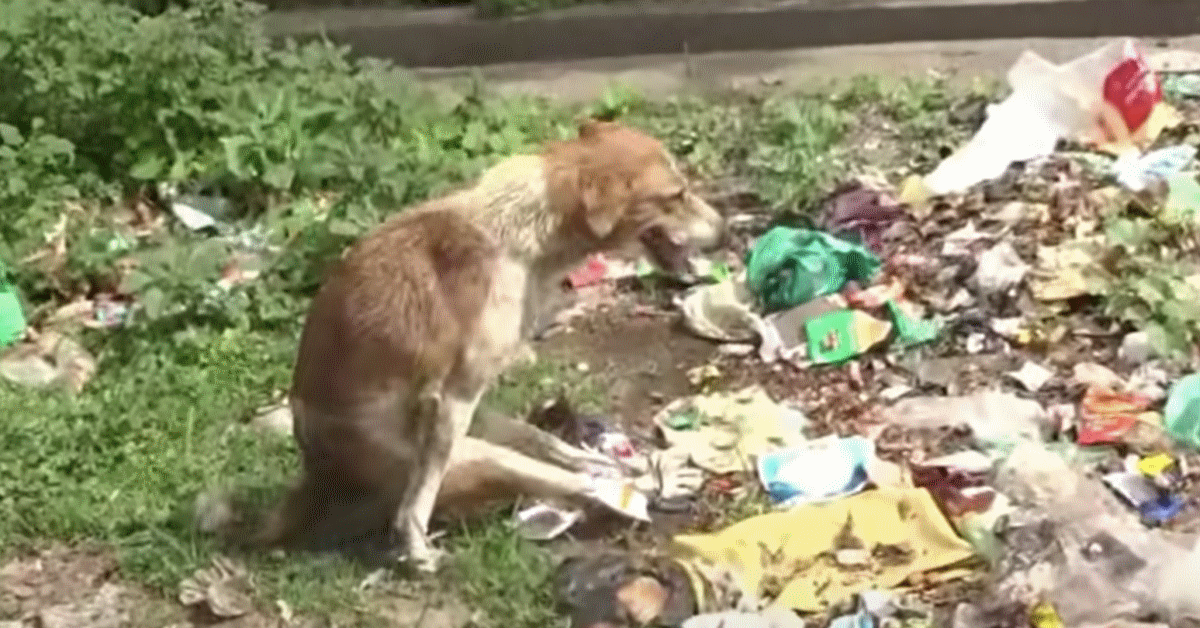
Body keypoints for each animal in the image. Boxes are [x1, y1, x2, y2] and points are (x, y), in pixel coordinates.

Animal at [255, 119, 720, 573]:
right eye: (676, 195)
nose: (726, 231)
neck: (526, 226)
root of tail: (318, 476)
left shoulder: (458, 403)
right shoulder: (453, 400)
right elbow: (416, 505)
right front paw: (415, 550)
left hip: (483, 433)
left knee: (551, 447)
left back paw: (626, 465)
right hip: (479, 454)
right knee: (572, 482)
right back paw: (647, 483)